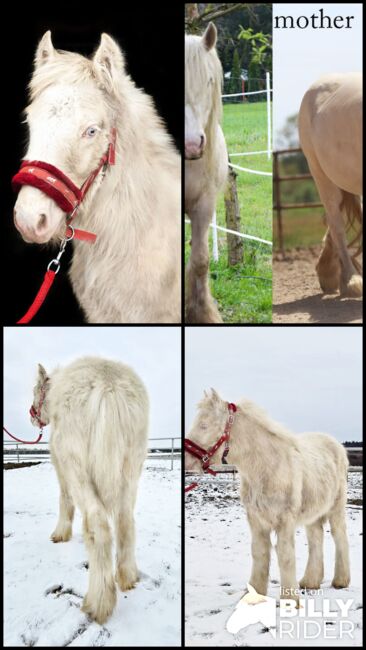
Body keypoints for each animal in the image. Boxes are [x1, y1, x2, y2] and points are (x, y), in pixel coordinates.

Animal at [30, 354, 147, 624]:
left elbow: (65, 500)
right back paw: (127, 577)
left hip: (78, 468)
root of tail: (108, 386)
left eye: (34, 391)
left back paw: (98, 604)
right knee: (125, 522)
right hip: (130, 469)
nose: (32, 416)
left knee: (99, 524)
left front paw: (59, 535)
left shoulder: (61, 467)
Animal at [187, 384, 350, 604]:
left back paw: (341, 581)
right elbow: (260, 553)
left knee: (340, 537)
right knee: (316, 539)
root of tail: (336, 445)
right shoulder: (256, 520)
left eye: (204, 425)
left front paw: (290, 600)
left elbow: (285, 556)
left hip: (336, 508)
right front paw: (253, 595)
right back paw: (310, 582)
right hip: (313, 513)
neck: (267, 468)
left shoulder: (285, 521)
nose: (186, 461)